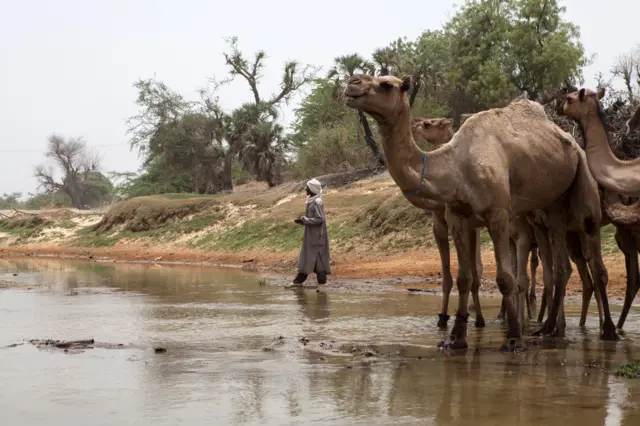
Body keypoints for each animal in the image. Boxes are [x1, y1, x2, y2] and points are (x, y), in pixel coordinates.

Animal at [344, 75, 620, 348]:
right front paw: (456, 338)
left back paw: (607, 331)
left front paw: (513, 337)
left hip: (584, 189)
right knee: (562, 266)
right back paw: (551, 330)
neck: (456, 165)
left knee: (595, 262)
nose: (352, 83)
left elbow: (504, 278)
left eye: (386, 85)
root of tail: (572, 142)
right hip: (550, 207)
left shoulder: (497, 214)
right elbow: (464, 277)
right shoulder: (457, 216)